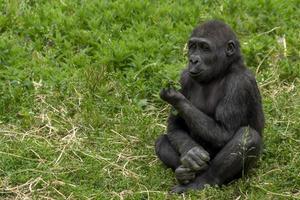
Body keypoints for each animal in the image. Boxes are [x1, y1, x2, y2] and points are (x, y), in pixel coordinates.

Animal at [156, 19, 264, 193]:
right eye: (193, 47)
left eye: (205, 48)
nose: (193, 60)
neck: (222, 71)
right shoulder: (184, 77)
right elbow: (175, 126)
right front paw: (191, 153)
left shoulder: (239, 84)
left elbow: (224, 132)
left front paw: (175, 98)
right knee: (161, 141)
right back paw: (183, 173)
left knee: (248, 137)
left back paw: (204, 181)